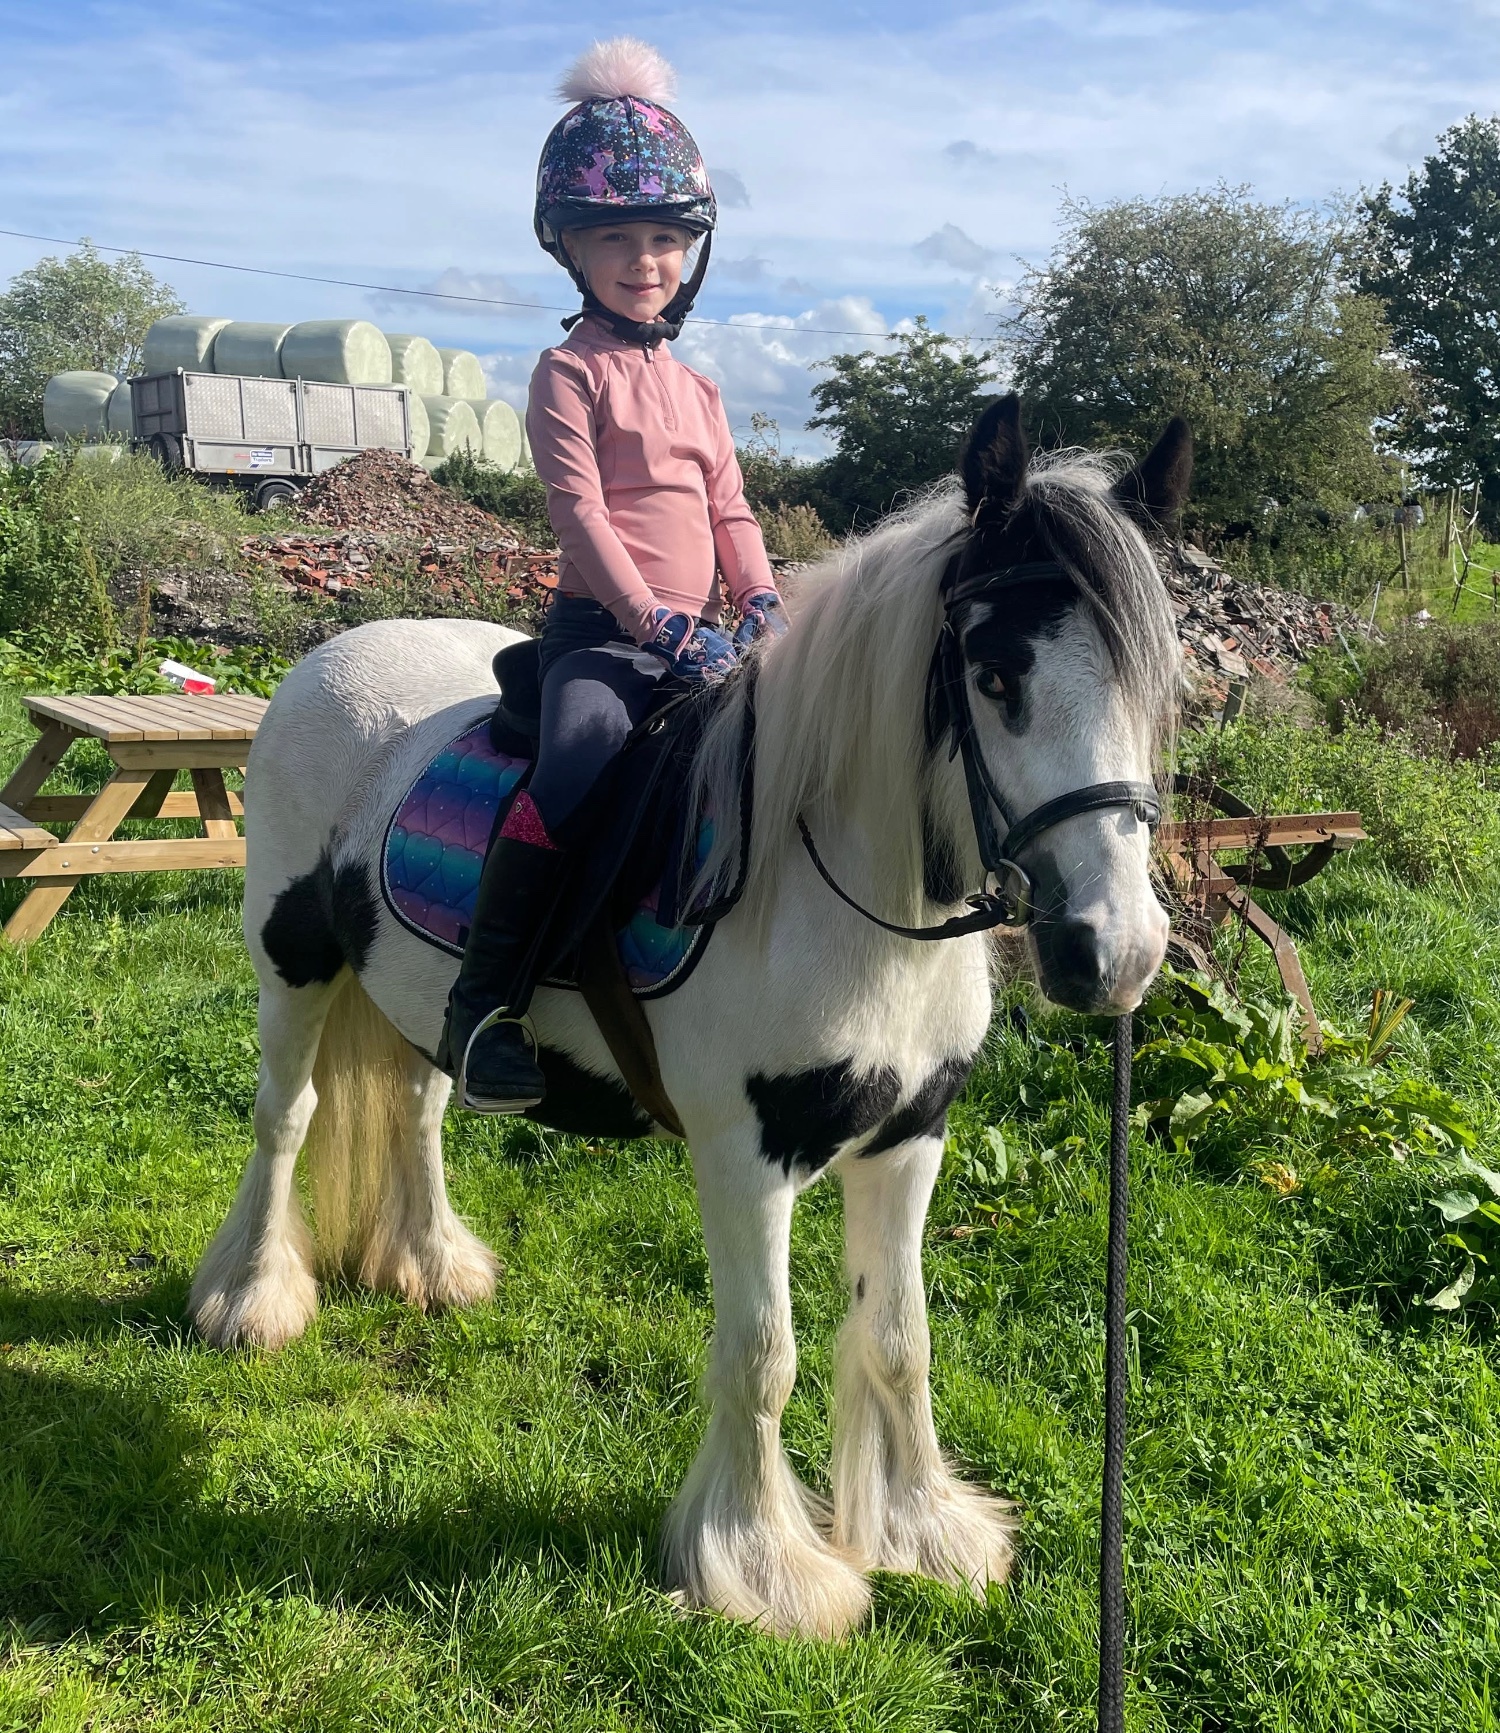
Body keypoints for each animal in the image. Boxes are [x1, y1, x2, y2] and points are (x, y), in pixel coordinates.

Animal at [189, 396, 1189, 1640]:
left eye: (1156, 684)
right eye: (996, 673)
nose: (1117, 953)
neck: (837, 888)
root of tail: (331, 655)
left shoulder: (911, 1137)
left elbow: (899, 1340)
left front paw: (925, 1534)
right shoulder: (746, 1156)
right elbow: (763, 1355)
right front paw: (768, 1570)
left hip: (419, 996)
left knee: (416, 1108)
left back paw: (430, 1263)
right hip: (293, 964)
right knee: (286, 1117)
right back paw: (250, 1298)